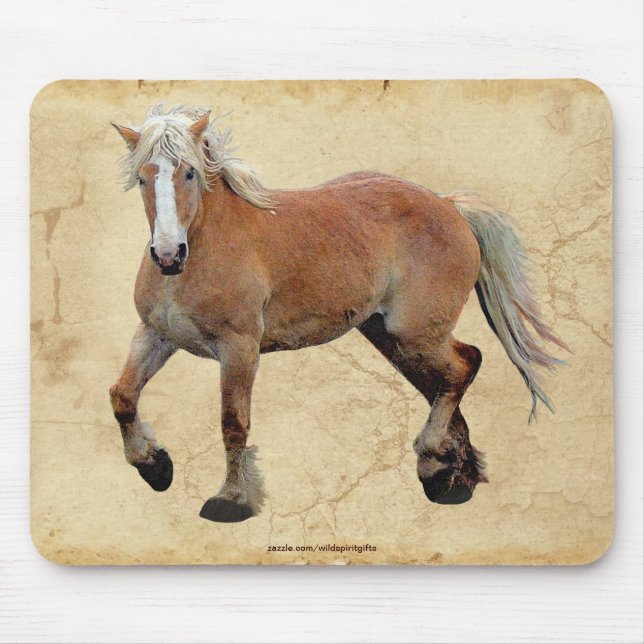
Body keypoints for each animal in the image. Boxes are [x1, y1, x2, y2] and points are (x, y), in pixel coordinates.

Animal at [110, 104, 567, 523]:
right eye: (143, 178)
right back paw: (452, 480)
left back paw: (433, 462)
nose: (168, 255)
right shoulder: (155, 334)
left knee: (465, 365)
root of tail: (448, 205)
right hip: (389, 336)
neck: (205, 247)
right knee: (441, 383)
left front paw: (231, 500)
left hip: (415, 332)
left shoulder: (239, 347)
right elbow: (123, 396)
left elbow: (232, 421)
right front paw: (155, 466)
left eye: (188, 174)